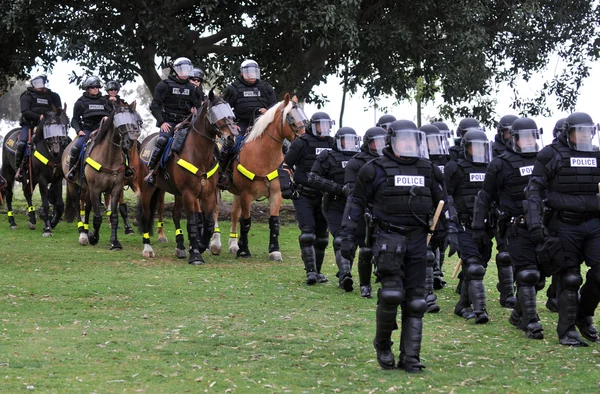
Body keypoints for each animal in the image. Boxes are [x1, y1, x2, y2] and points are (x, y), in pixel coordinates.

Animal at [0, 104, 69, 235]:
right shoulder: (42, 179)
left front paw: (52, 223)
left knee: (27, 192)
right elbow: (46, 204)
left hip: (32, 178)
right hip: (9, 172)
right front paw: (47, 228)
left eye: (66, 124)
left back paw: (32, 219)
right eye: (47, 126)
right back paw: (12, 222)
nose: (61, 144)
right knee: (9, 194)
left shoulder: (57, 179)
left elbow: (60, 205)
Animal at [62, 101, 142, 249]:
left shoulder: (116, 189)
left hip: (87, 188)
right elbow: (98, 217)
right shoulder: (95, 189)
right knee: (78, 206)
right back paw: (82, 234)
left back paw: (86, 229)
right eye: (119, 121)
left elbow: (114, 216)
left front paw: (114, 242)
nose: (129, 142)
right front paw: (93, 237)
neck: (109, 157)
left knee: (87, 208)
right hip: (72, 185)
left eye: (136, 121)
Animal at [137, 91, 238, 264]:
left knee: (176, 214)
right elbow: (192, 221)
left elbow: (208, 223)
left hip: (177, 193)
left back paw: (180, 247)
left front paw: (202, 246)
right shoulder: (189, 194)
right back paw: (147, 249)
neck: (198, 154)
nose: (232, 137)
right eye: (214, 112)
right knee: (146, 214)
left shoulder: (208, 193)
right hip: (148, 189)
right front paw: (196, 254)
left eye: (229, 111)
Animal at [220, 92, 308, 258]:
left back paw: (233, 244)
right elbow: (246, 222)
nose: (305, 139)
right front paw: (244, 250)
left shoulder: (276, 194)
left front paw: (274, 250)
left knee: (234, 215)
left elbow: (274, 222)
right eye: (290, 118)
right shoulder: (246, 195)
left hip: (237, 193)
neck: (263, 156)